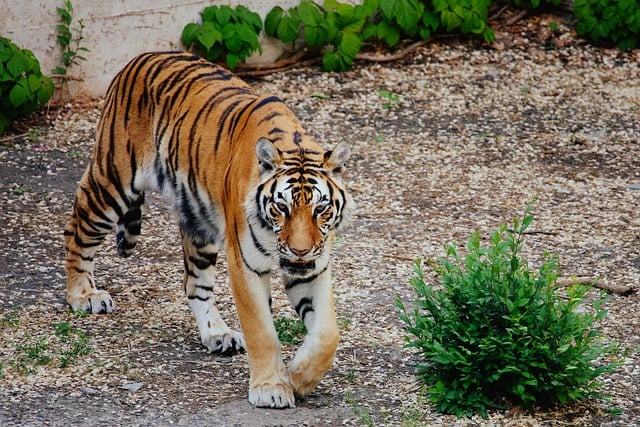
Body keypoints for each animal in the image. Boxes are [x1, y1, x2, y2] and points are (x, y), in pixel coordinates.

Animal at [63, 52, 353, 408]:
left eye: (320, 209)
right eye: (281, 208)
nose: (299, 250)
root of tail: (140, 57)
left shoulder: (314, 267)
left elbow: (327, 333)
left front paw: (298, 377)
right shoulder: (245, 265)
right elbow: (262, 331)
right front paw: (271, 387)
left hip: (198, 223)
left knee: (194, 282)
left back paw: (218, 334)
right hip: (113, 183)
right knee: (76, 229)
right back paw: (84, 295)